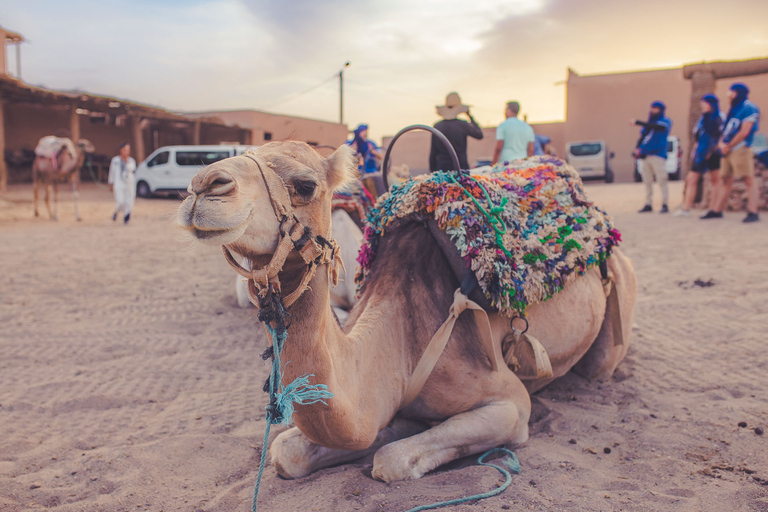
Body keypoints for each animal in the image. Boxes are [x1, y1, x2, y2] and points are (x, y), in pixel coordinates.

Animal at [177, 141, 640, 484]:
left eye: (305, 184)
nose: (202, 184)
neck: (399, 341)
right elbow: (287, 450)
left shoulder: (511, 403)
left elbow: (391, 460)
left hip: (611, 321)